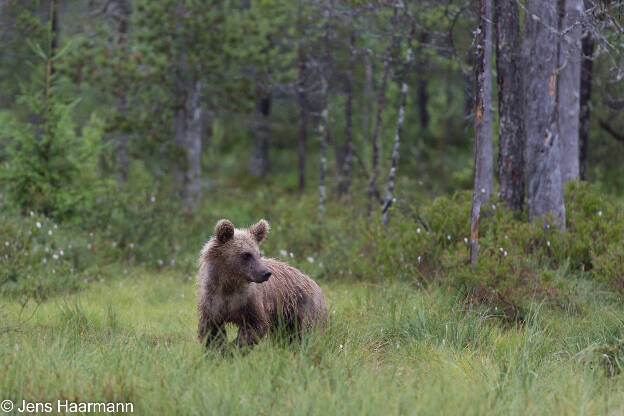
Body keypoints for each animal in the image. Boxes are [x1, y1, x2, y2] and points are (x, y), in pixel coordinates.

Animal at [197, 218, 330, 348]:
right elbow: (211, 331)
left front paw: (232, 347)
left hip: (302, 306)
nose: (266, 273)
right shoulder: (213, 301)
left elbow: (256, 325)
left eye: (258, 254)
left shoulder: (249, 301)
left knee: (308, 332)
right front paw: (218, 348)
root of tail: (314, 283)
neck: (229, 284)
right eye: (246, 254)